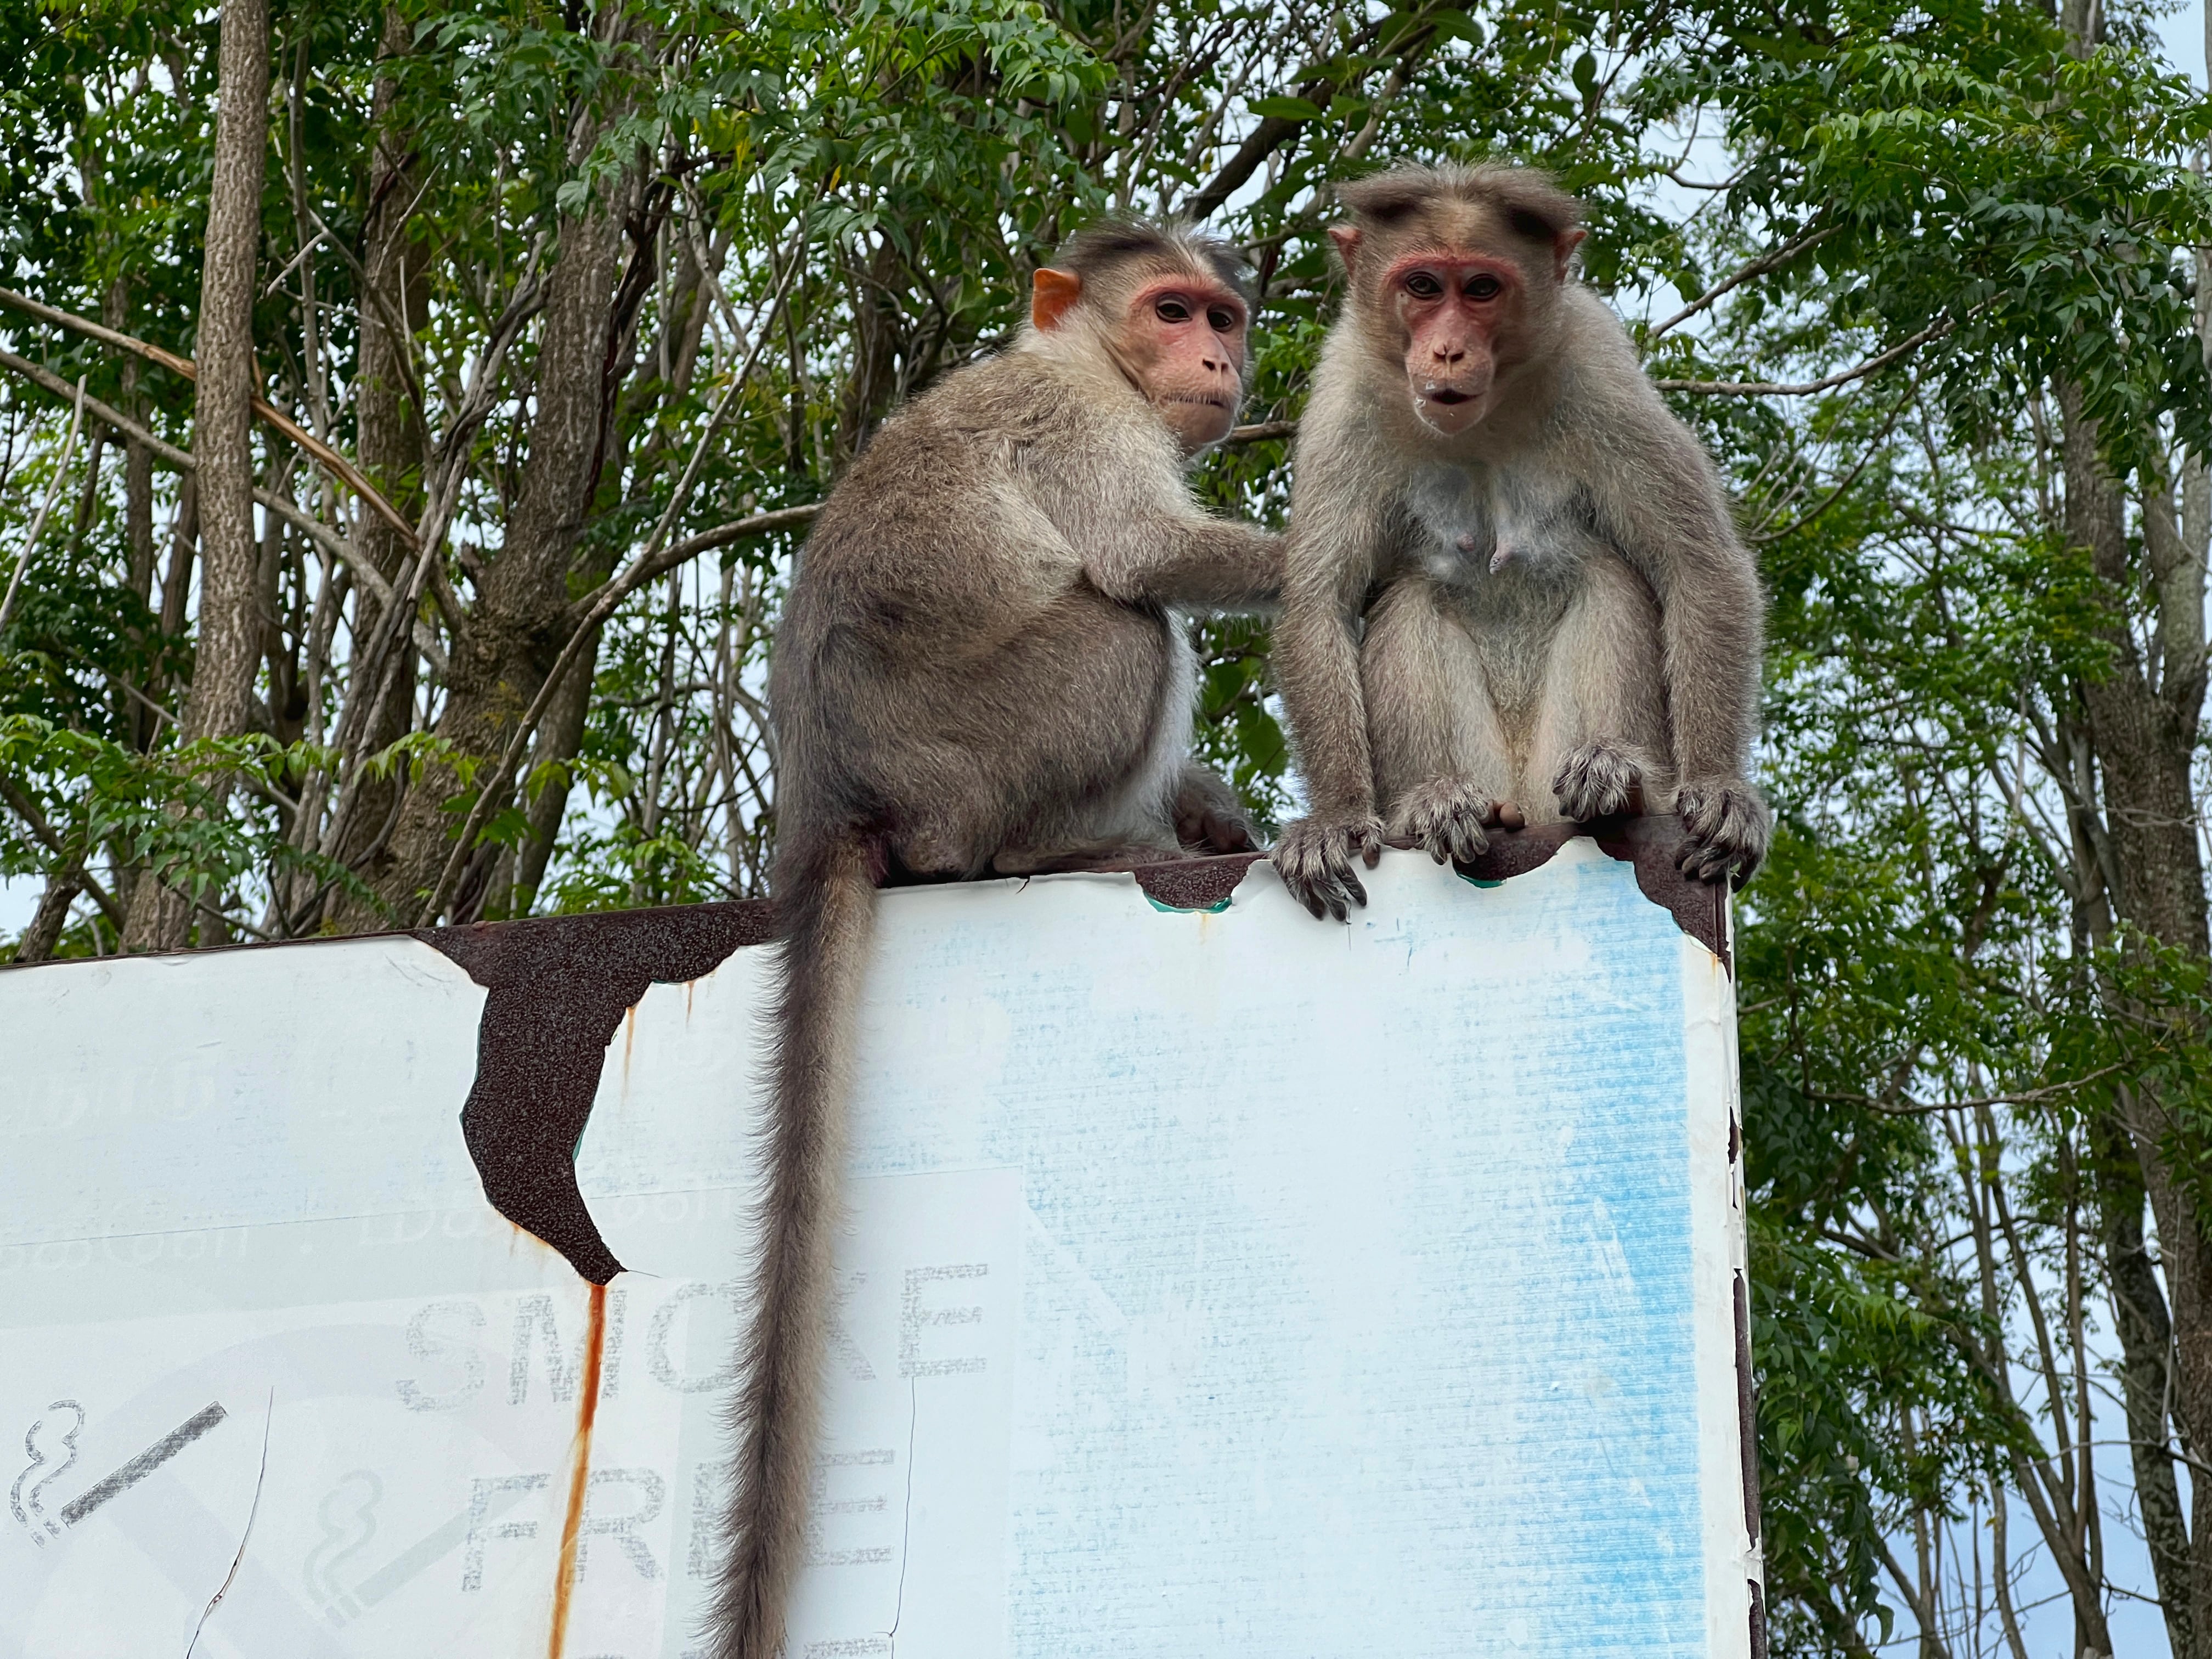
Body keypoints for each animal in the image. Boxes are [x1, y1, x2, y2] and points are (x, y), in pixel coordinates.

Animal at [708, 218, 1280, 1659]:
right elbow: (1143, 557)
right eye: (1173, 310)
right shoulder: (1084, 425)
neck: (1078, 354)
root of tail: (838, 803)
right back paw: (1067, 849)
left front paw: (1220, 809)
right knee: (1127, 628)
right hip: (997, 746)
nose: (1213, 360)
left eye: (1225, 317)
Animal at [1269, 162, 1771, 921]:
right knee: (1414, 603)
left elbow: (1698, 564)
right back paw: (1441, 805)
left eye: (1482, 288)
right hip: (1489, 769)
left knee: (1607, 582)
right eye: (1423, 287)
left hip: (1552, 769)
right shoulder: (1344, 393)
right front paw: (1337, 819)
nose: (1448, 350)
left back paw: (1619, 786)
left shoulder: (1598, 367)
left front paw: (1718, 786)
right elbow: (1319, 605)